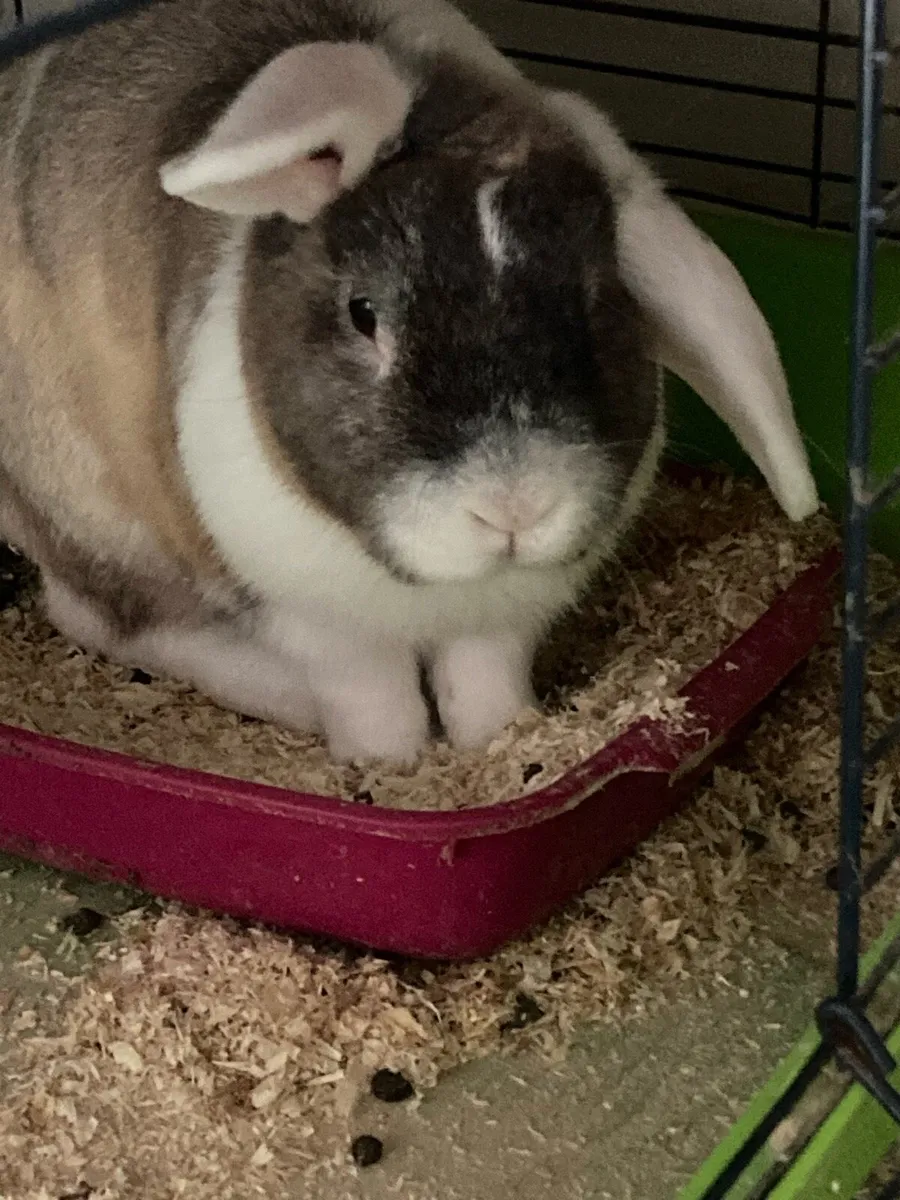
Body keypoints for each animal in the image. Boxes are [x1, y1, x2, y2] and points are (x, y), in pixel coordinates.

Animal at [0, 0, 818, 764]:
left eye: (597, 298)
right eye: (363, 313)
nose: (515, 508)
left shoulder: (503, 623)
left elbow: (485, 689)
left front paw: (497, 745)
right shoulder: (326, 629)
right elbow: (376, 705)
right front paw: (387, 763)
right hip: (96, 526)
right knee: (104, 618)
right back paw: (282, 696)